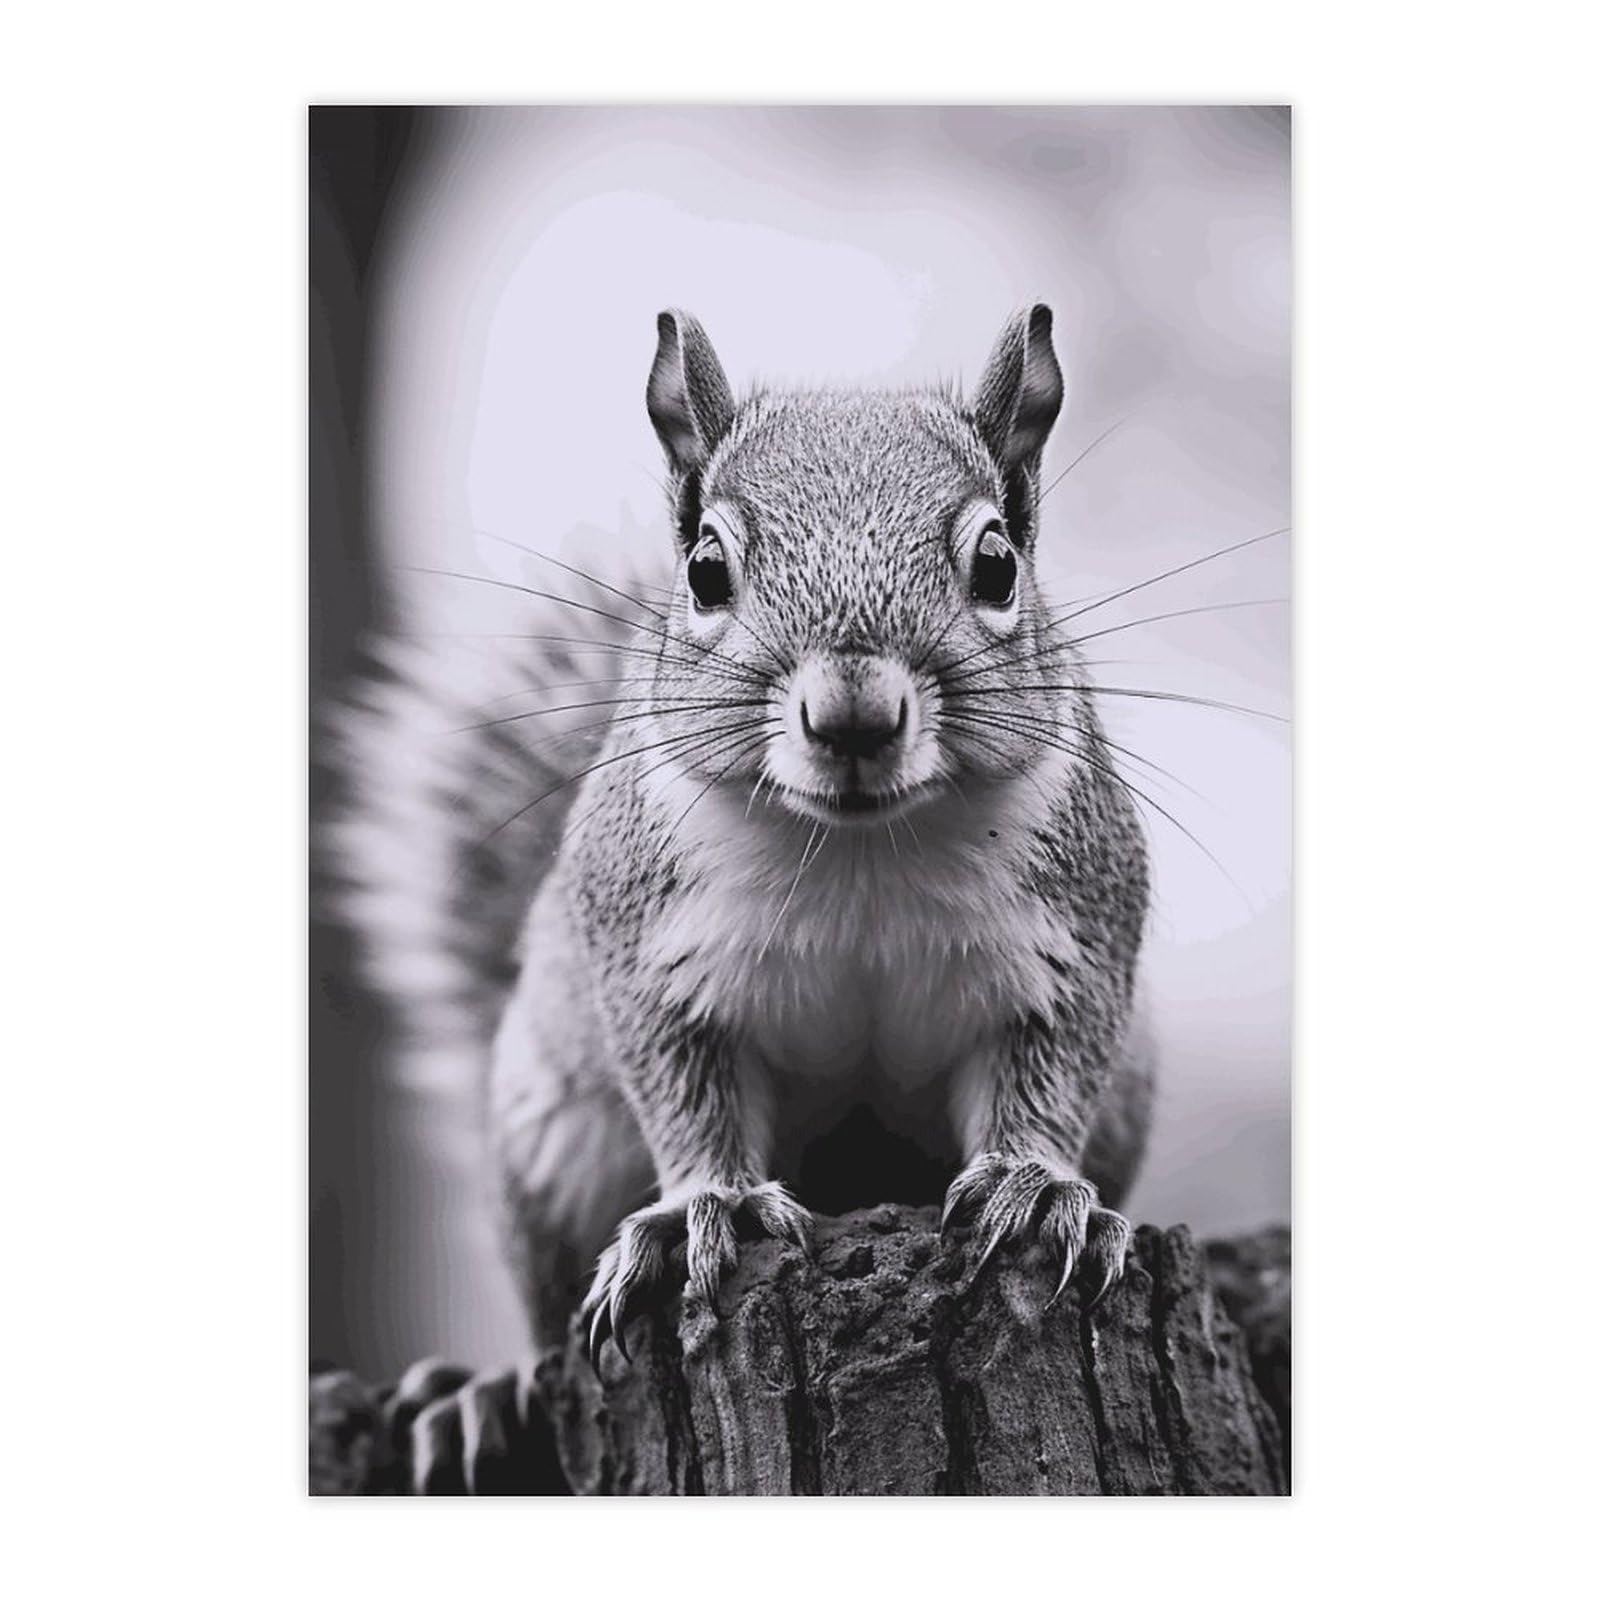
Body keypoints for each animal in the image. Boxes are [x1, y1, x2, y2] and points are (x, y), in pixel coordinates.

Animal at [329, 303, 1155, 1485]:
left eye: (998, 562)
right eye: (707, 570)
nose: (853, 716)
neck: (858, 852)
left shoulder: (1079, 931)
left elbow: (1054, 1071)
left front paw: (1035, 1186)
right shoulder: (643, 948)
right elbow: (686, 1089)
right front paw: (699, 1212)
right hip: (549, 1136)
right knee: (548, 1307)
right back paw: (487, 1390)